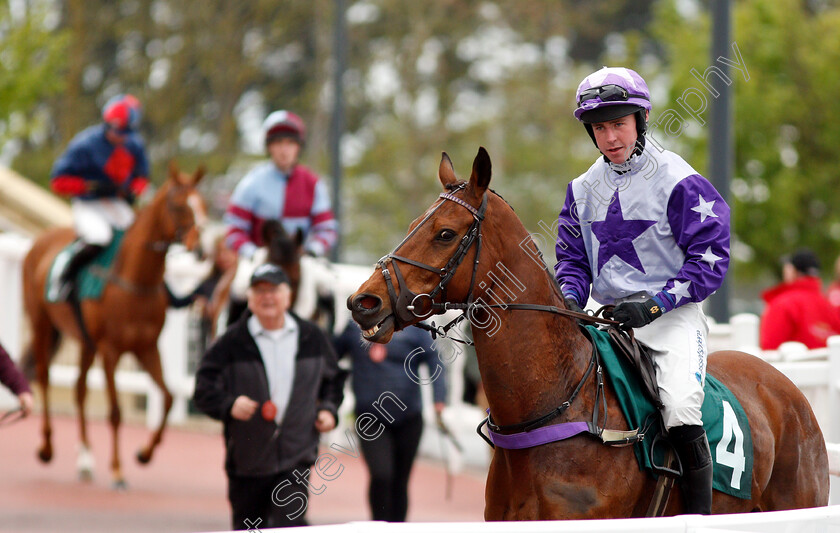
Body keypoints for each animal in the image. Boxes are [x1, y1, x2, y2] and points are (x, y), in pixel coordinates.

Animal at [23, 162, 207, 486]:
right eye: (177, 204)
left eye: (203, 204)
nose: (198, 250)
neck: (134, 282)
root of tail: (41, 240)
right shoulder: (111, 351)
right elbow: (116, 411)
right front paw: (118, 470)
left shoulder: (147, 347)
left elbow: (169, 398)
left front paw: (145, 453)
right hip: (41, 324)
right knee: (44, 377)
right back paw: (46, 447)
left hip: (85, 341)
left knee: (79, 389)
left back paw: (85, 460)